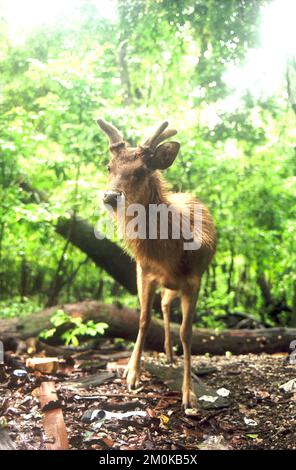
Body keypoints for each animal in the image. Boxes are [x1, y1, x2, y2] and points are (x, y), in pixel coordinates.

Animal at [98, 119, 216, 410]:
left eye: (141, 170)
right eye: (109, 166)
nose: (110, 197)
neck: (169, 256)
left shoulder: (194, 279)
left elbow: (187, 332)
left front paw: (189, 394)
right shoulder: (143, 271)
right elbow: (142, 319)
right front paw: (132, 374)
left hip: (180, 284)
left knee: (166, 305)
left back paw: (172, 355)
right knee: (162, 304)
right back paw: (165, 354)